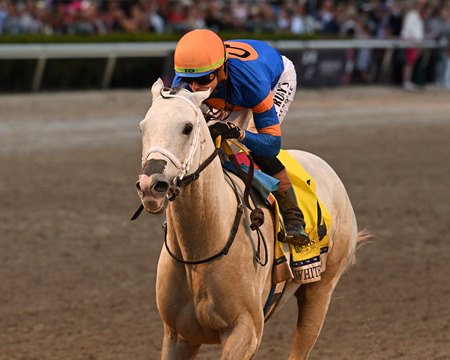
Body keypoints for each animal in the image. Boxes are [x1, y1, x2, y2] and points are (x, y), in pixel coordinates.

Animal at [134, 79, 366, 360]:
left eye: (187, 128)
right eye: (143, 127)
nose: (150, 186)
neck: (200, 250)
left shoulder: (246, 330)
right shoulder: (178, 336)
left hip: (320, 291)